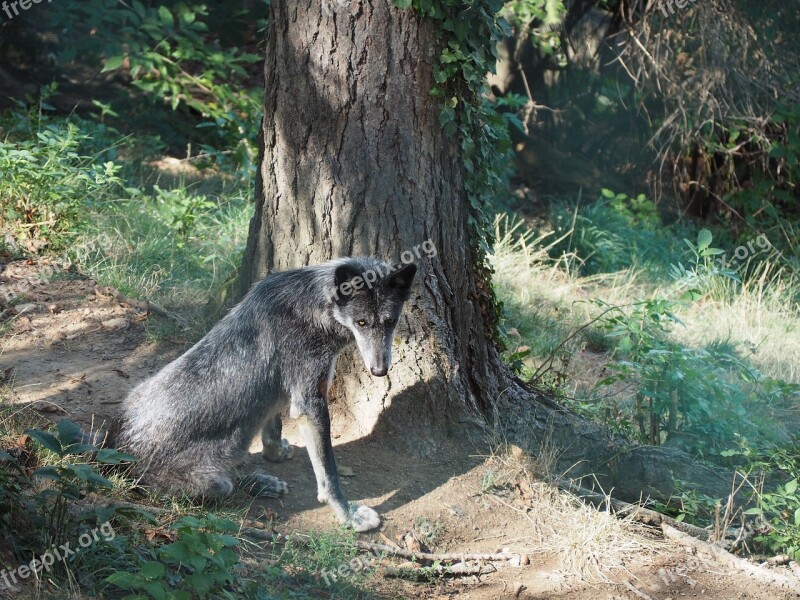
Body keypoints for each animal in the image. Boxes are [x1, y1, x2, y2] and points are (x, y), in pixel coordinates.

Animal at [113, 255, 418, 532]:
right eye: (362, 323)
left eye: (390, 321)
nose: (379, 370)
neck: (315, 305)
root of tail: (118, 448)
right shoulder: (310, 403)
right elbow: (329, 475)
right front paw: (349, 516)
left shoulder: (279, 390)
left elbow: (272, 426)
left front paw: (275, 452)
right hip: (215, 482)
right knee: (229, 486)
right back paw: (261, 484)